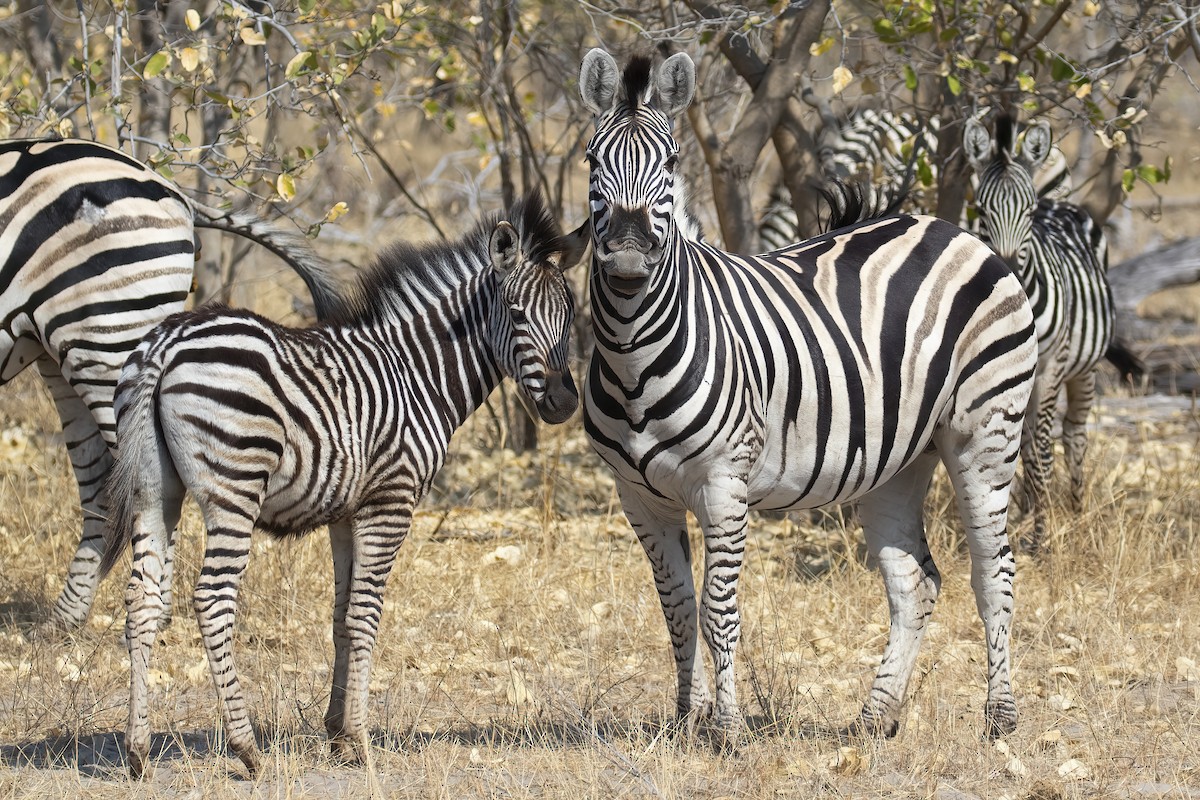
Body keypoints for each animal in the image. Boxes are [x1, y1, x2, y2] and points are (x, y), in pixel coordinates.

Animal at [0, 136, 341, 630]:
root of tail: (169, 187)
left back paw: (149, 615)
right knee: (105, 484)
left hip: (109, 338)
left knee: (143, 489)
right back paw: (66, 619)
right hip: (60, 351)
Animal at [100, 191, 584, 777]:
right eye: (516, 313)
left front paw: (335, 733)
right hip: (235, 490)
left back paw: (138, 750)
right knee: (212, 599)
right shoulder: (390, 500)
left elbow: (339, 616)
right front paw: (360, 739)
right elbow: (364, 614)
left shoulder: (346, 511)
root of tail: (164, 344)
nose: (563, 403)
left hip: (154, 488)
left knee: (142, 600)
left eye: (571, 314)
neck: (416, 373)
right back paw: (246, 747)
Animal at [578, 49, 1038, 742]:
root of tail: (946, 228)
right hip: (899, 458)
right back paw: (876, 717)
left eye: (673, 162)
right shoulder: (638, 496)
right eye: (591, 160)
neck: (633, 358)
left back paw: (1001, 718)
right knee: (917, 582)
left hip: (986, 433)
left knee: (994, 571)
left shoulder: (724, 483)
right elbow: (676, 607)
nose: (629, 263)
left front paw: (727, 732)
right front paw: (685, 722)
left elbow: (718, 609)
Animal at [964, 115, 1119, 548]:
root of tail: (1058, 203)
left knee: (1074, 435)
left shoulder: (1051, 367)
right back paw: (1028, 508)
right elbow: (1013, 455)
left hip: (1085, 368)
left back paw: (1076, 510)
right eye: (980, 209)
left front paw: (1042, 540)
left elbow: (1043, 456)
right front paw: (1021, 522)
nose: (1005, 274)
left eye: (1028, 211)